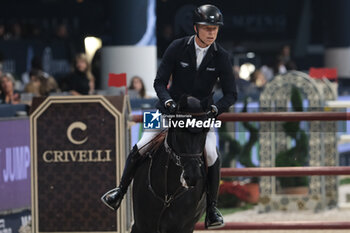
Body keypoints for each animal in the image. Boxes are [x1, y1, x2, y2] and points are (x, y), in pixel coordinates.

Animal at [131, 95, 211, 232]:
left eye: (205, 131)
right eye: (180, 129)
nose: (193, 175)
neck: (166, 195)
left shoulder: (181, 227)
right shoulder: (140, 225)